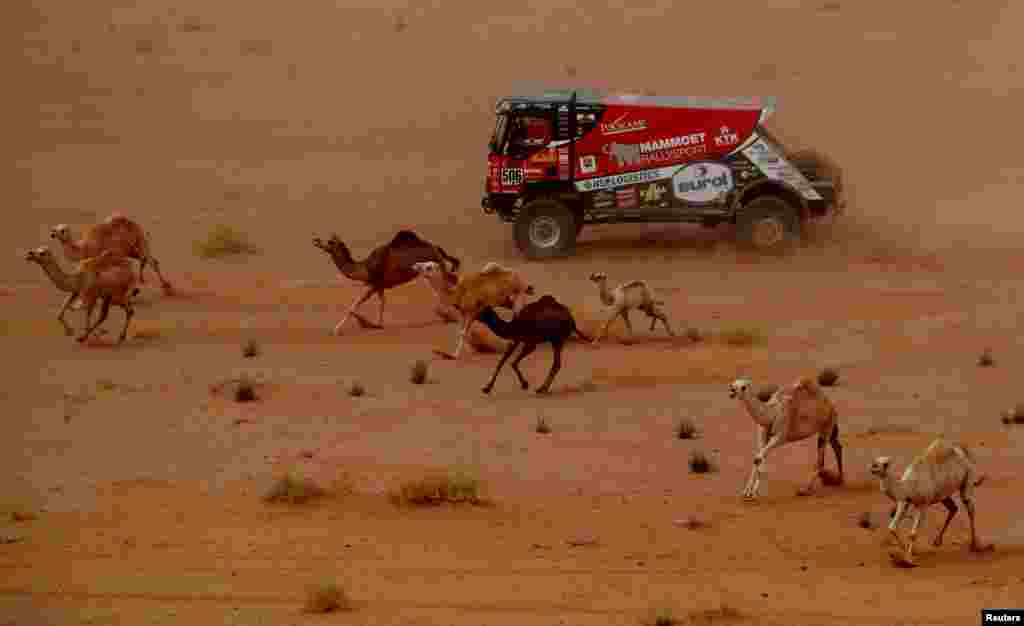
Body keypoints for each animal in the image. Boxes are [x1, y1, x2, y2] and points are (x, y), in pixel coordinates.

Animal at [312, 230, 461, 334]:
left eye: (330, 242)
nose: (316, 240)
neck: (365, 268)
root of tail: (437, 248)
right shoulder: (380, 286)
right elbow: (382, 302)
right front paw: (378, 324)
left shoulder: (373, 284)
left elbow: (355, 304)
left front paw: (336, 330)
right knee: (447, 285)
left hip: (436, 266)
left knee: (447, 285)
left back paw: (449, 315)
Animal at [870, 436, 991, 567]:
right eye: (874, 462)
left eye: (884, 464)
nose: (872, 467)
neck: (908, 486)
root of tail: (965, 452)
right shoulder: (904, 501)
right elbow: (892, 528)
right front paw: (905, 552)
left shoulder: (923, 504)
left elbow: (913, 534)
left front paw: (908, 560)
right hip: (943, 494)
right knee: (953, 508)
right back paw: (937, 541)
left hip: (968, 476)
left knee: (969, 507)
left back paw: (975, 546)